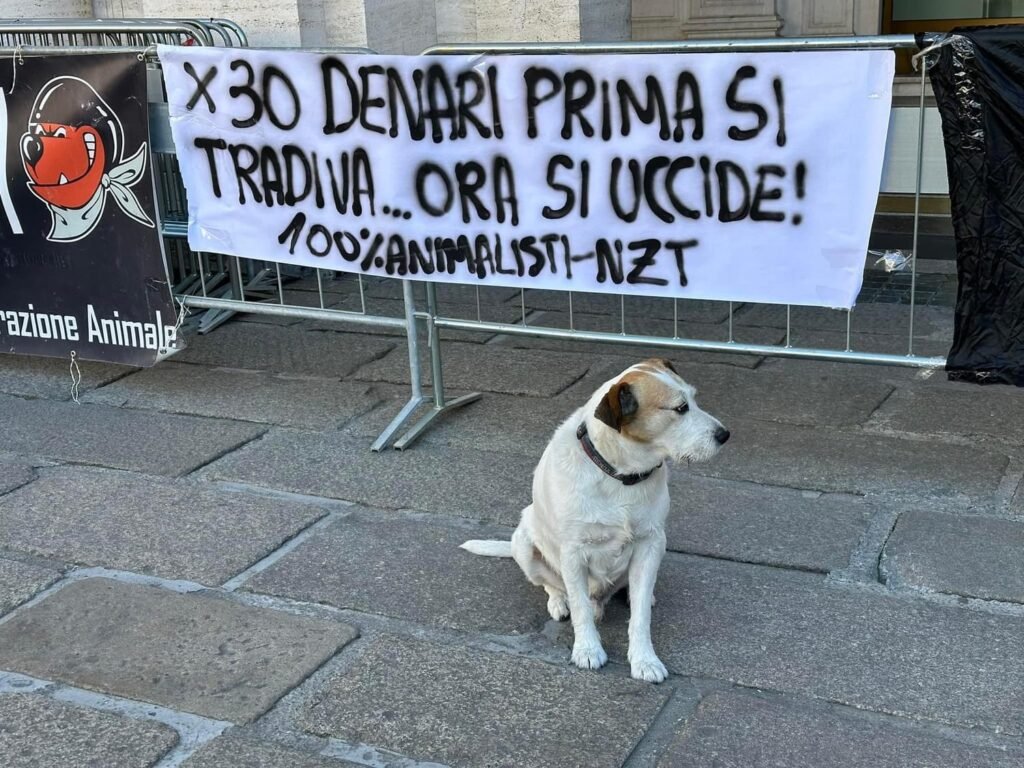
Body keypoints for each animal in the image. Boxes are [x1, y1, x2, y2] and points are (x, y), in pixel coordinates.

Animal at [461, 359, 729, 683]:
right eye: (680, 408)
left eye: (694, 398)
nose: (725, 435)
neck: (620, 475)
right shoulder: (573, 552)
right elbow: (580, 610)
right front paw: (587, 649)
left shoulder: (651, 543)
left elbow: (641, 616)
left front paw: (644, 659)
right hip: (523, 541)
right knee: (553, 585)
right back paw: (558, 601)